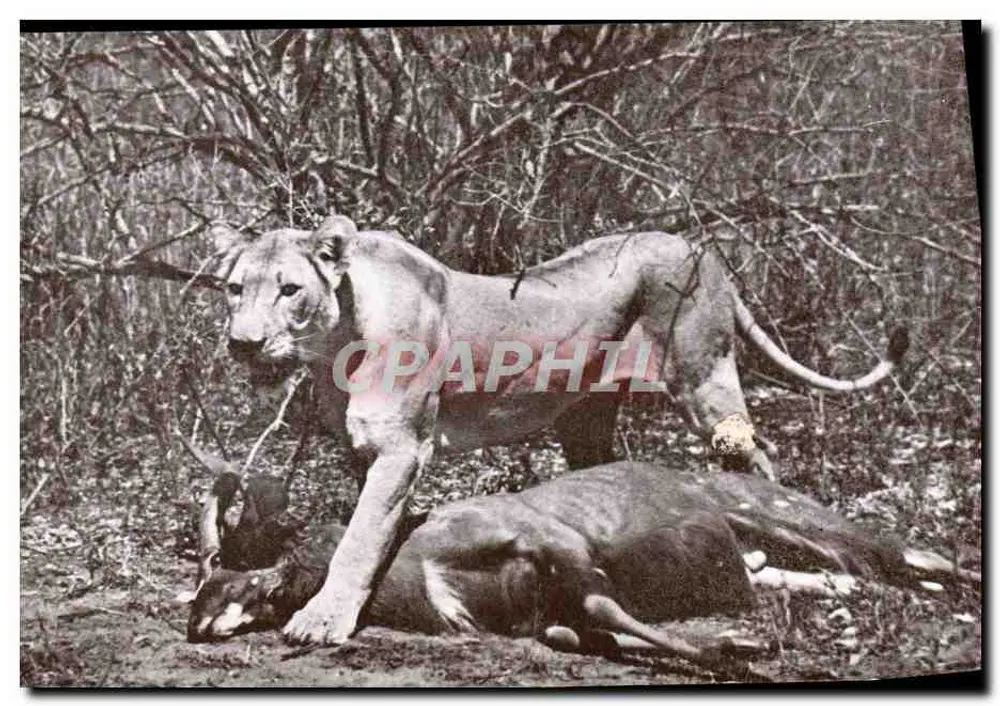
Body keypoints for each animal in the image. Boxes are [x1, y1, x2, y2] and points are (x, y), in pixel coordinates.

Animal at [208, 214, 906, 646]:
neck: (332, 347)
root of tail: (700, 248)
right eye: (234, 289)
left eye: (290, 290)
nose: (243, 344)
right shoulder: (365, 452)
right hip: (587, 419)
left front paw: (323, 618)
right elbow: (367, 529)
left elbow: (358, 540)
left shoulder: (404, 449)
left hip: (704, 379)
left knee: (755, 460)